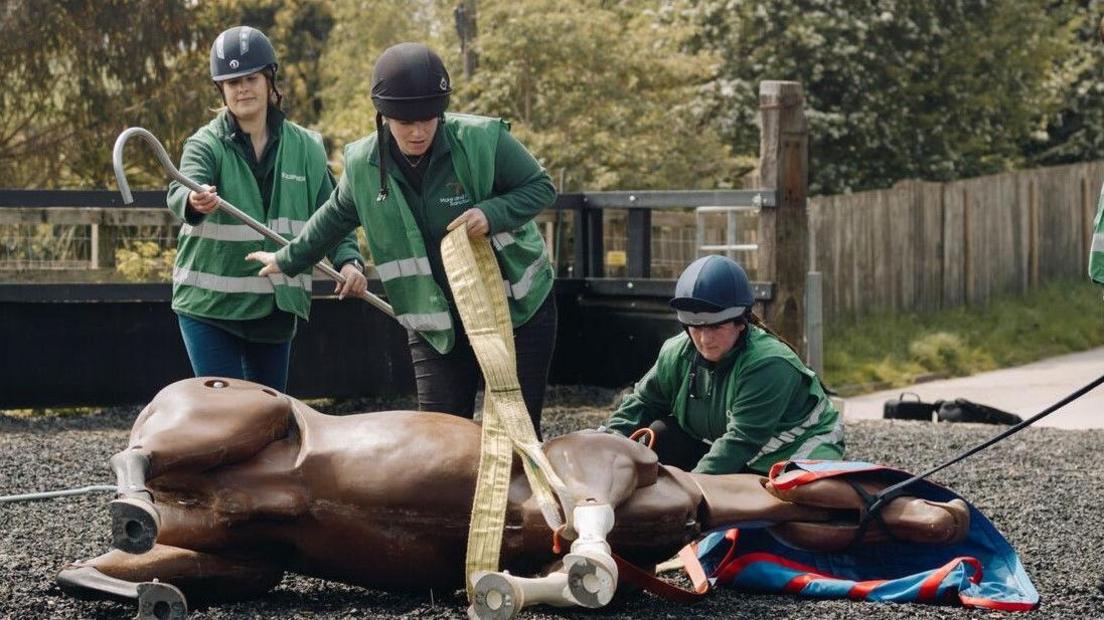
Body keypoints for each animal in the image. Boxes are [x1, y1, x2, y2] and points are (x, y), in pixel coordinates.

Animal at [58, 377, 967, 617]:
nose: (950, 508)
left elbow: (563, 566)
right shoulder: (585, 466)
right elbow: (588, 532)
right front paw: (577, 572)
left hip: (244, 551)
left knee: (104, 562)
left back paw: (151, 581)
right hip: (238, 412)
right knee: (133, 451)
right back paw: (133, 504)